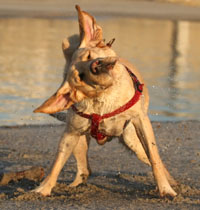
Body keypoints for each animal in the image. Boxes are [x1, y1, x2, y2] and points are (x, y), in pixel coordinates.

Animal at [32, 5, 177, 198]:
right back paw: (75, 185)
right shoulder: (70, 134)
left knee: (157, 160)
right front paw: (42, 189)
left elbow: (155, 158)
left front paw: (165, 189)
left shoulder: (140, 121)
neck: (105, 99)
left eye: (89, 56)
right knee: (85, 170)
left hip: (133, 139)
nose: (96, 65)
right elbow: (57, 163)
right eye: (81, 76)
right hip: (77, 138)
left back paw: (172, 182)